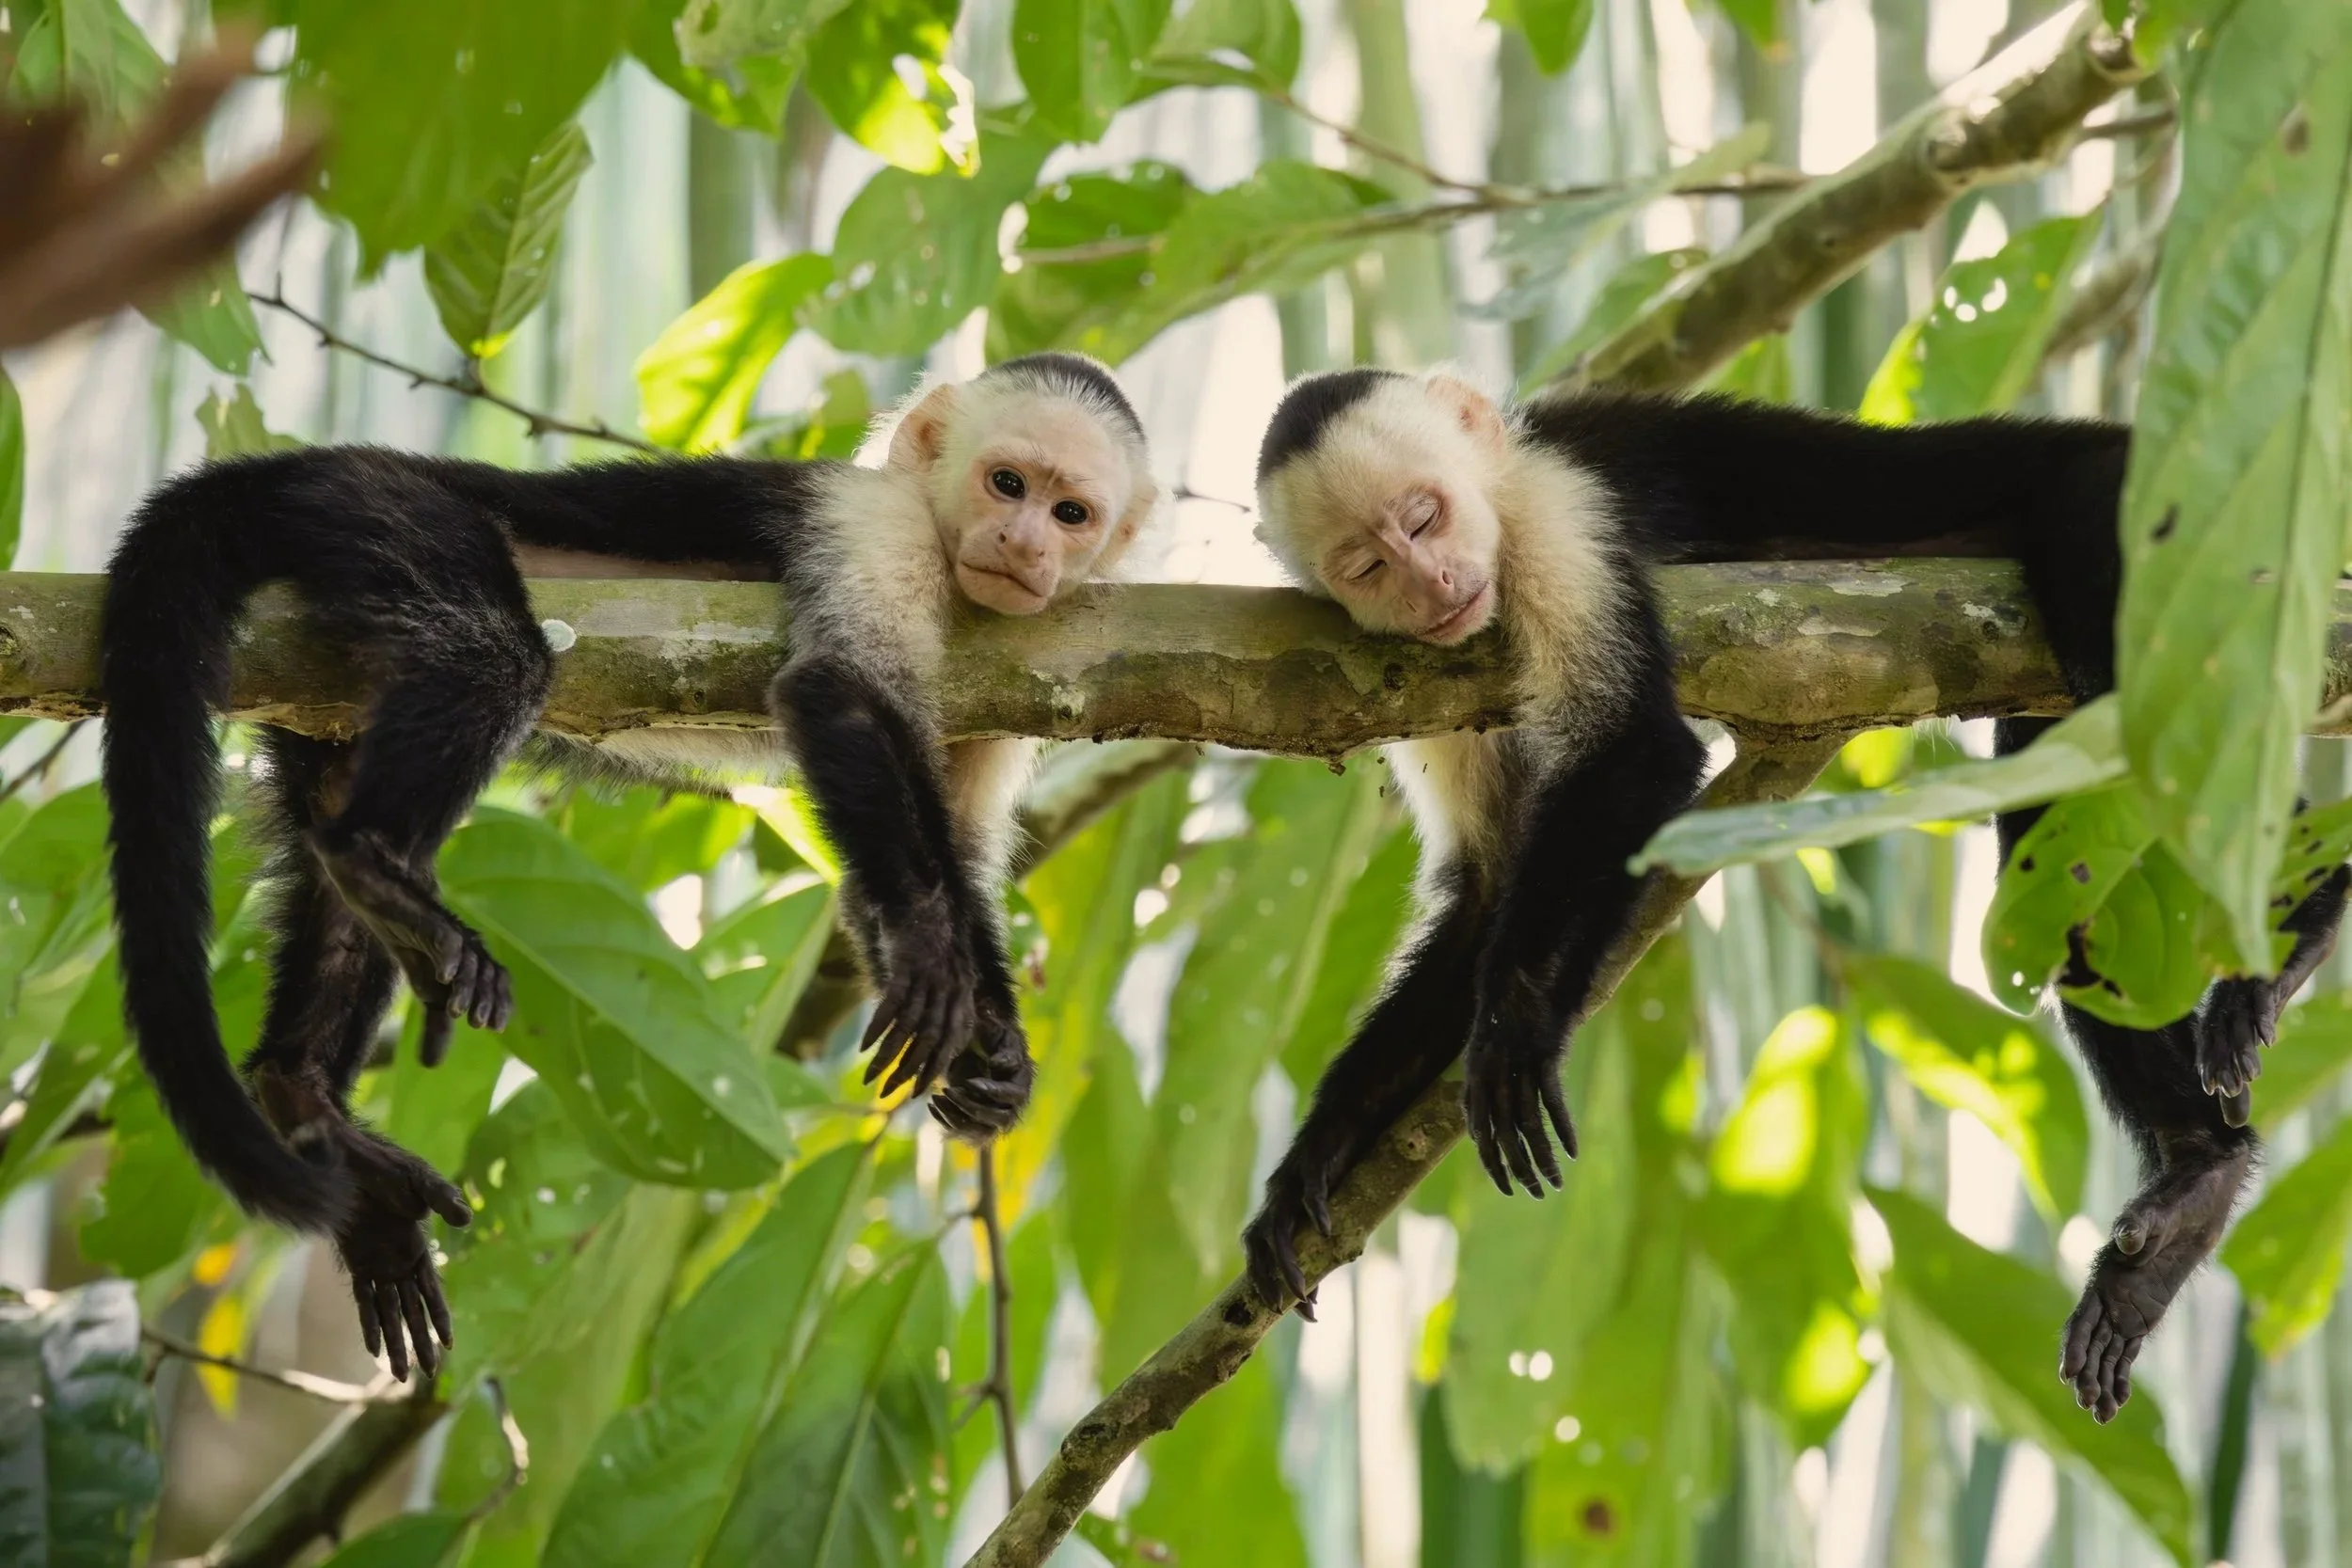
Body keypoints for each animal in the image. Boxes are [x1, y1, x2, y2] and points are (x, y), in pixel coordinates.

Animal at [99, 352, 1158, 1380]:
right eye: (1006, 482)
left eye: (1070, 513)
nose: (1022, 542)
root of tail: (309, 463)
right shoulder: (873, 523)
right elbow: (841, 688)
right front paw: (937, 957)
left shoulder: (1019, 658)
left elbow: (930, 864)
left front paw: (994, 1052)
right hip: (372, 508)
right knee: (492, 651)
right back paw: (379, 868)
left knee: (333, 812)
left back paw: (305, 1087)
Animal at [1238, 366, 2349, 1425]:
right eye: (1368, 565)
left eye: (1425, 517)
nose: (1432, 583)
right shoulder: (1429, 676)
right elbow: (1486, 892)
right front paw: (1315, 1155)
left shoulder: (1558, 519)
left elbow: (1641, 754)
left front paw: (1518, 1025)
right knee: (2056, 819)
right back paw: (2196, 1178)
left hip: (2129, 497)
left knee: (2138, 694)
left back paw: (2296, 921)